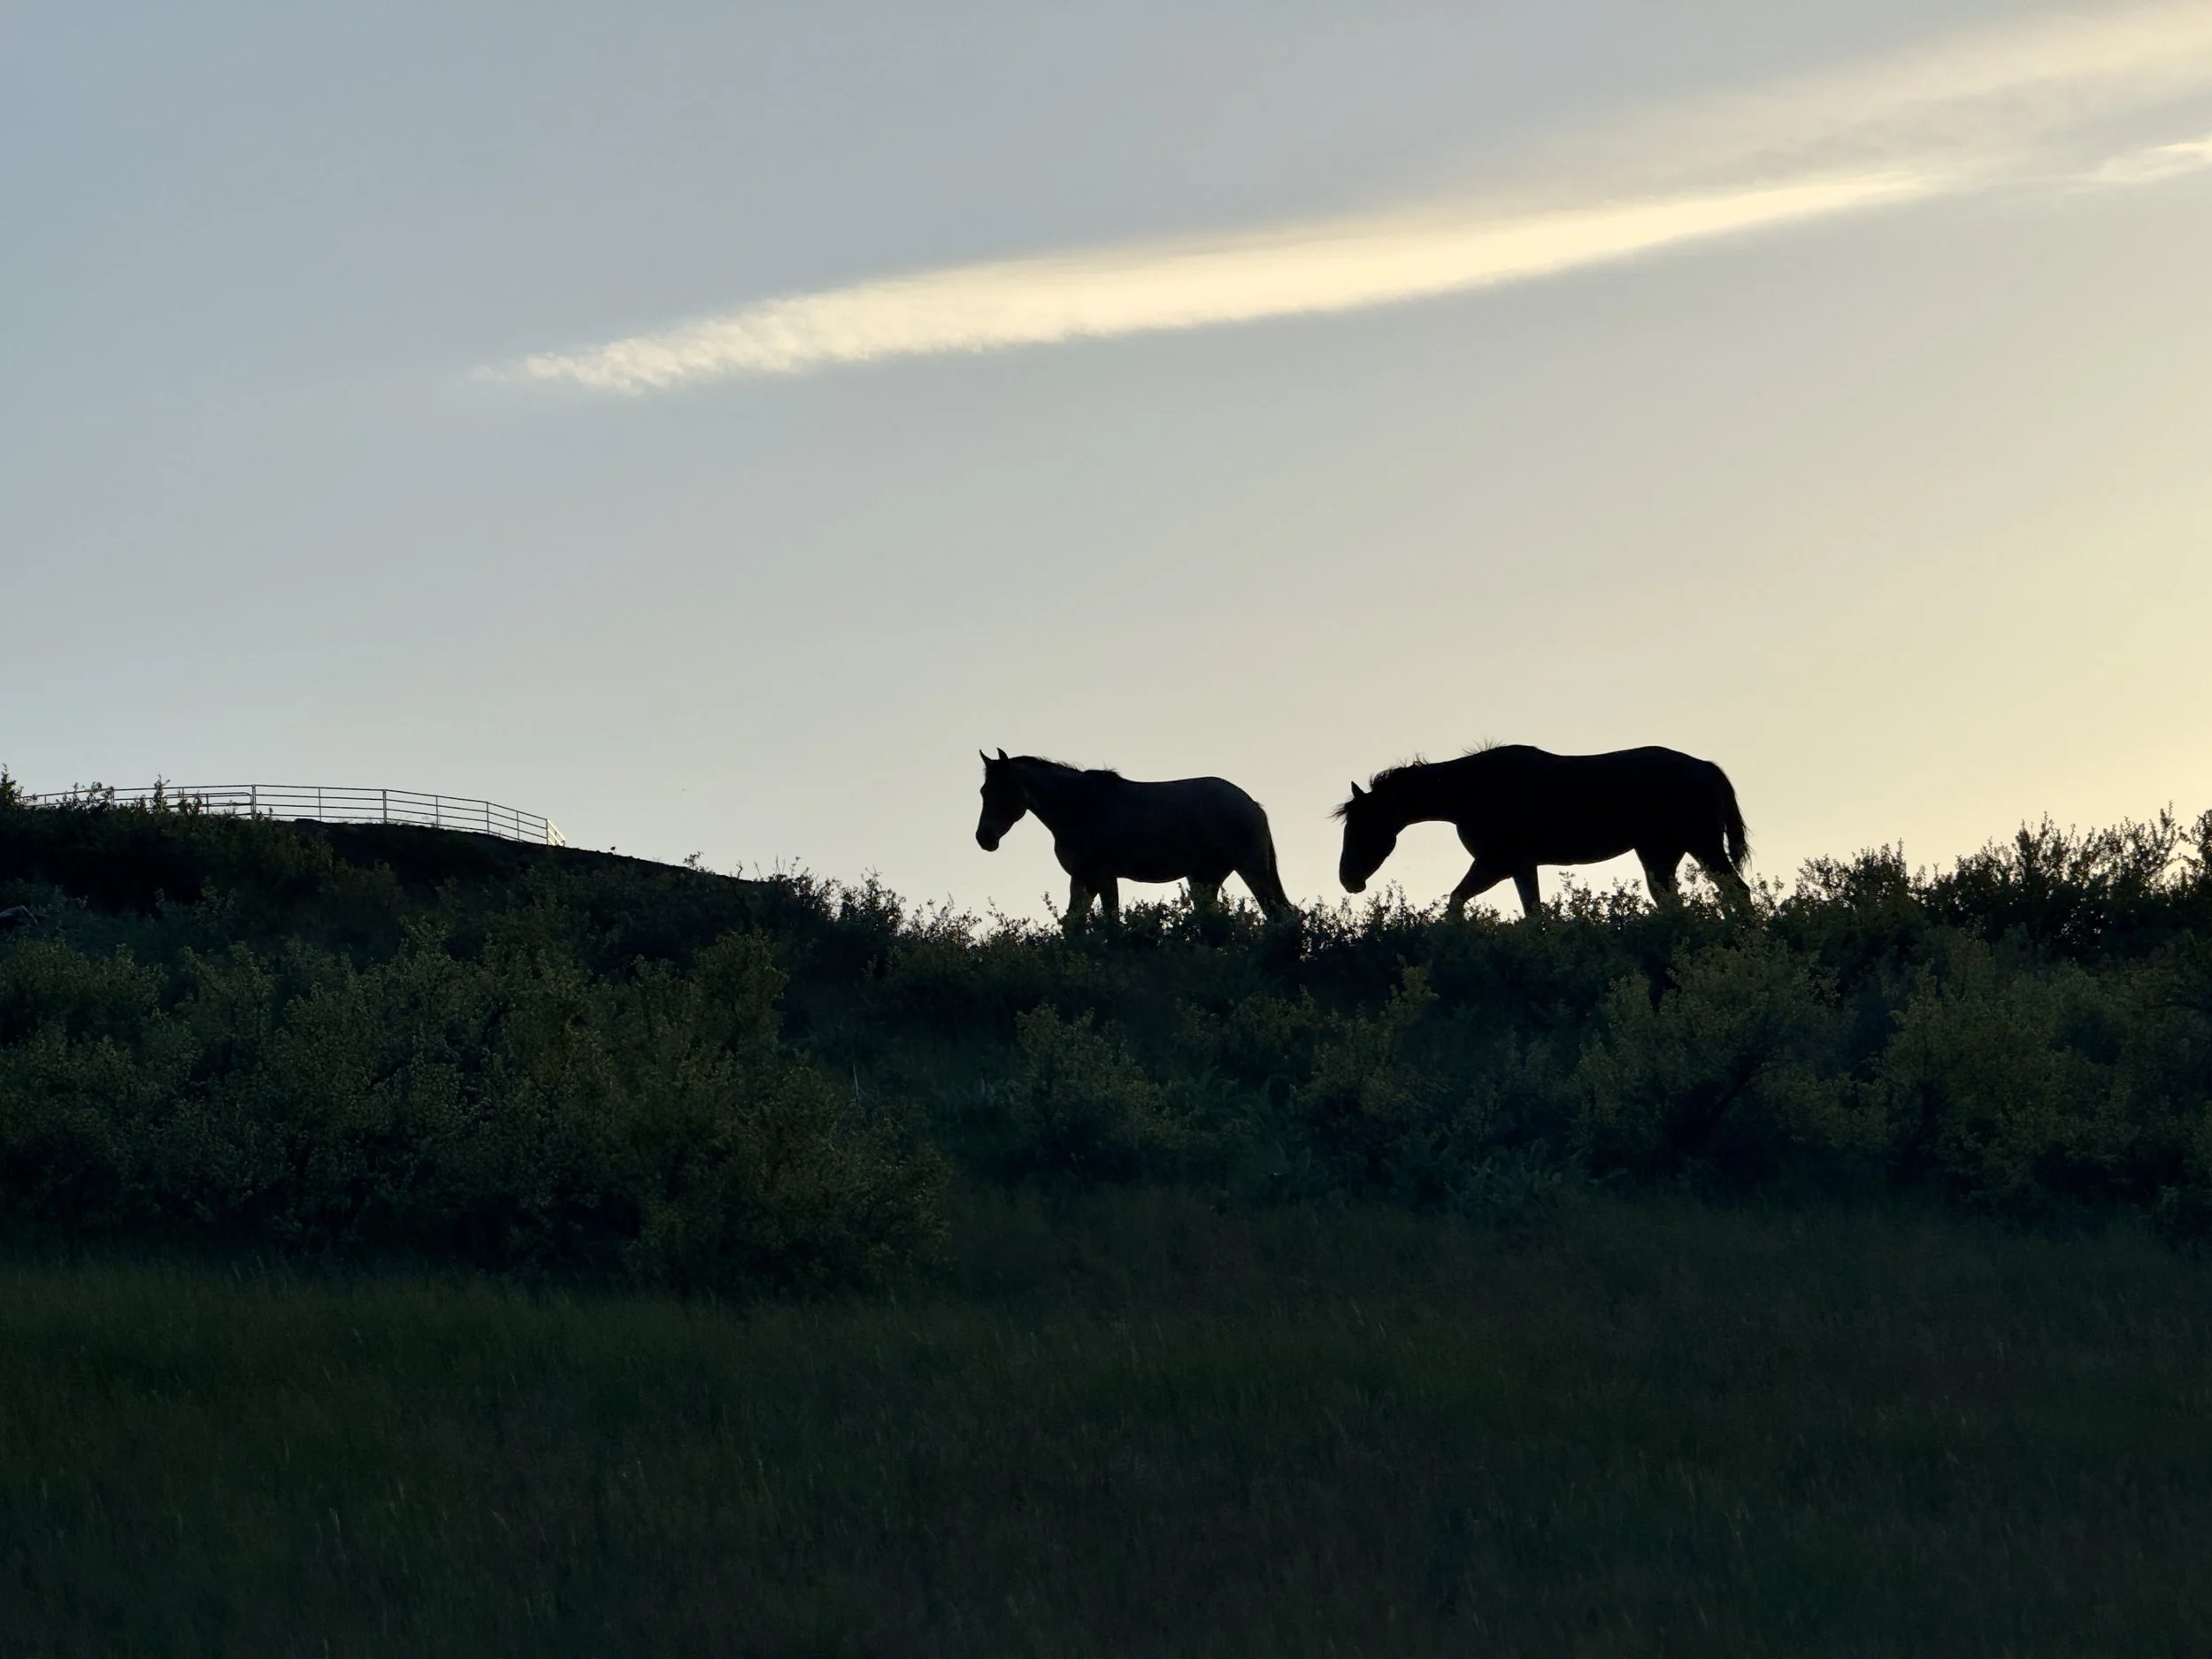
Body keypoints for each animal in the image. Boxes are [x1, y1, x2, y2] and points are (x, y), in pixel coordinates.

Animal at [975, 749, 1296, 929]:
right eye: (983, 791)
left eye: (1003, 790)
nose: (984, 838)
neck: (1080, 806)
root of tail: (1252, 805)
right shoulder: (1083, 879)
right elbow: (1073, 924)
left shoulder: (1101, 877)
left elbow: (1111, 923)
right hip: (1205, 878)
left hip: (1252, 869)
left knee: (1277, 914)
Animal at [1334, 744, 1750, 919]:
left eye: (1363, 826)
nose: (1348, 879)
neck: (1471, 790)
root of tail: (1705, 767)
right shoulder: (1516, 867)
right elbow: (1529, 910)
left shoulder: (1496, 864)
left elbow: (1459, 901)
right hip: (1660, 856)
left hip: (1703, 845)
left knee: (1739, 891)